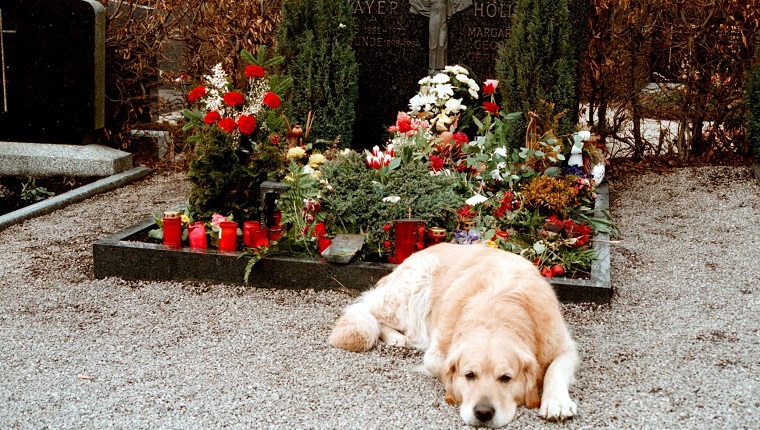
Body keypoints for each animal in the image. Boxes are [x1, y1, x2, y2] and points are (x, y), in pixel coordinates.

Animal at [326, 242, 576, 426]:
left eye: (506, 378)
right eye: (469, 375)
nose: (483, 413)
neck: (498, 310)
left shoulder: (564, 346)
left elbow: (556, 369)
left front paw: (556, 402)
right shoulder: (437, 352)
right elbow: (440, 366)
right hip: (413, 290)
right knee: (367, 310)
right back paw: (395, 337)